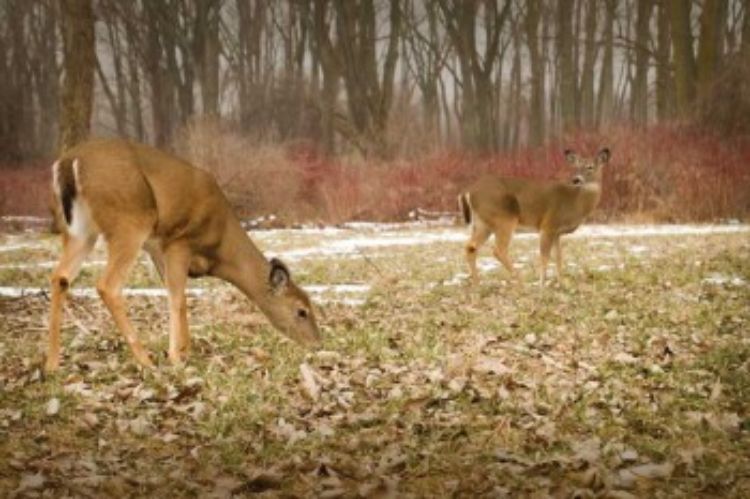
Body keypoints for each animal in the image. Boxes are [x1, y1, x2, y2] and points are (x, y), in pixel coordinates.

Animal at [44, 139, 320, 374]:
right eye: (302, 311)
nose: (316, 342)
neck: (220, 247)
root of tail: (69, 161)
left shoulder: (158, 249)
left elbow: (179, 296)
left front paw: (186, 352)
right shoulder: (179, 242)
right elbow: (177, 299)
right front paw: (176, 357)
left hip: (81, 230)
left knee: (60, 277)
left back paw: (52, 364)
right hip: (130, 221)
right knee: (107, 285)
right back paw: (145, 361)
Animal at [458, 148, 612, 288]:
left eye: (590, 167)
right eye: (576, 166)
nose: (576, 179)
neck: (575, 202)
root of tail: (469, 191)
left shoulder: (557, 232)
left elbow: (559, 257)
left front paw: (561, 284)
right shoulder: (548, 225)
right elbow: (545, 256)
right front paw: (542, 284)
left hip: (483, 223)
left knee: (470, 246)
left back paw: (477, 283)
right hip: (503, 218)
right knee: (498, 249)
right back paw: (520, 281)